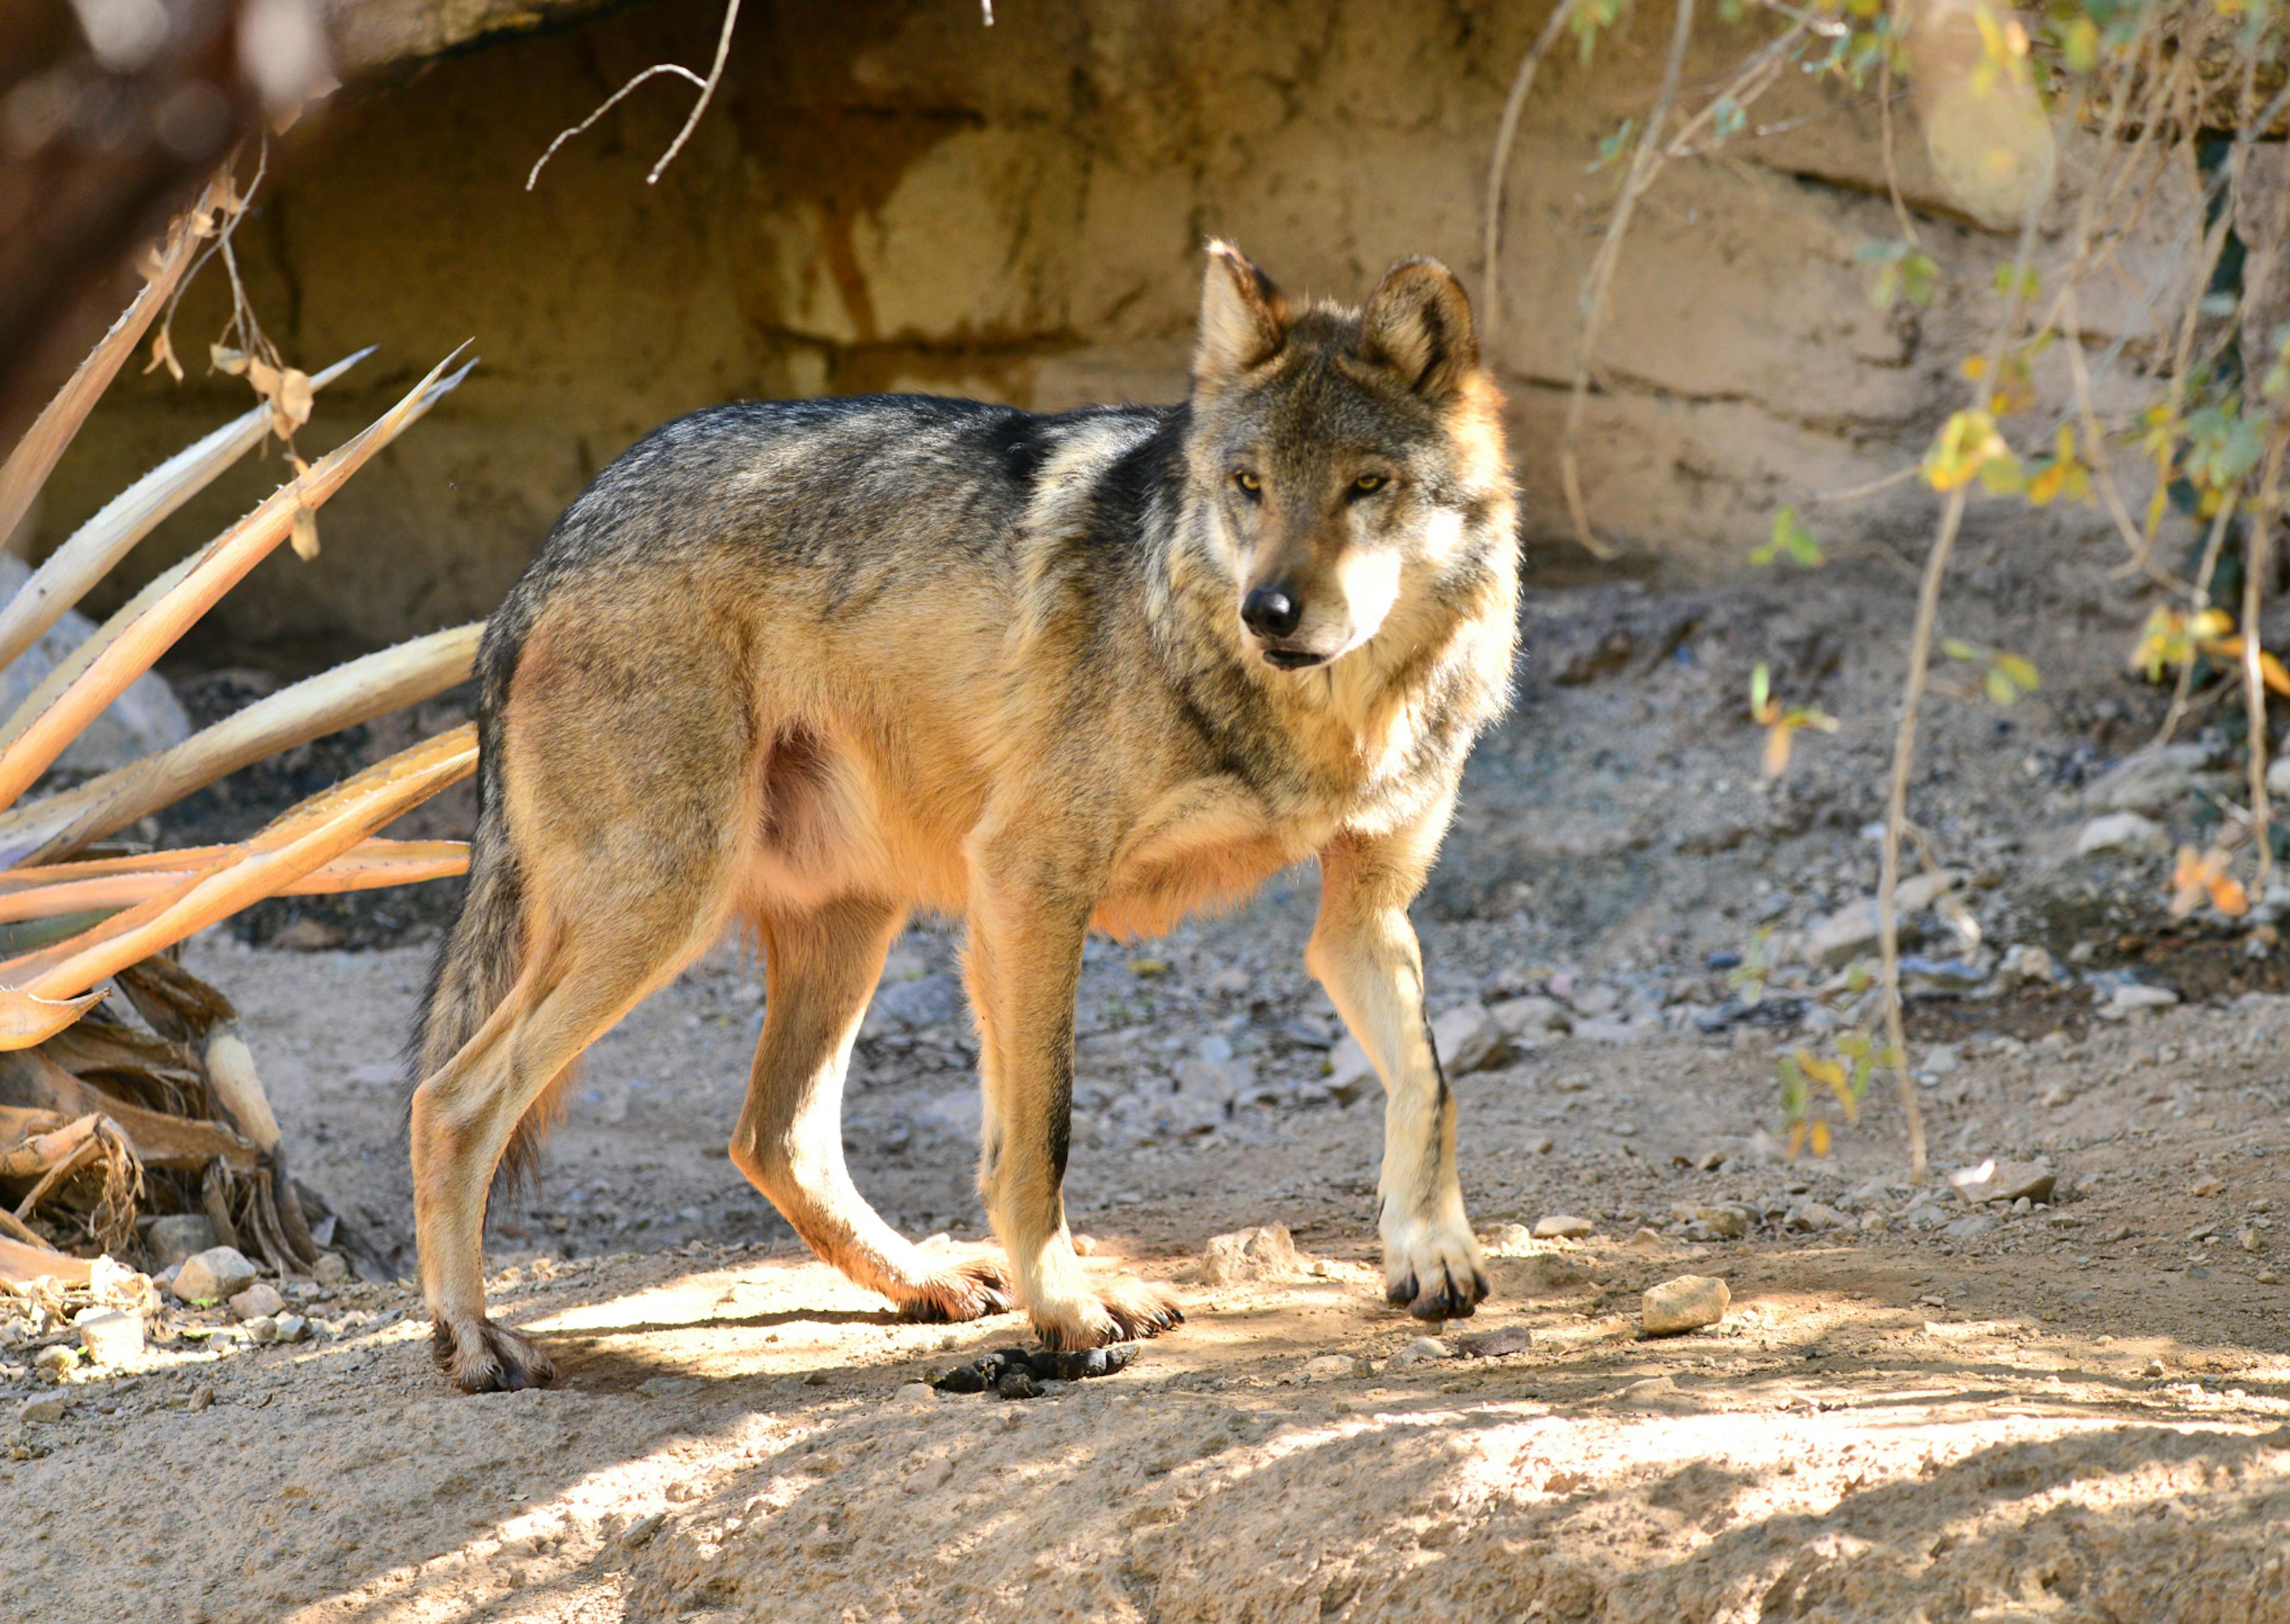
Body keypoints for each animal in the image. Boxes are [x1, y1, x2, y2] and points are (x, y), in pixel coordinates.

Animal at [412, 240, 1520, 1392]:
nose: (1270, 612)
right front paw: (1068, 1307)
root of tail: (543, 559)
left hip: (847, 921)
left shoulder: (1361, 915)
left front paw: (1432, 1250)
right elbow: (1041, 1133)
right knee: (453, 1100)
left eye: (1367, 486)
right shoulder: (1028, 881)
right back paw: (472, 1336)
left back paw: (926, 1280)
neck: (1322, 724)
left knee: (776, 1136)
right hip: (664, 909)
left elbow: (1430, 1082)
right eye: (1249, 485)